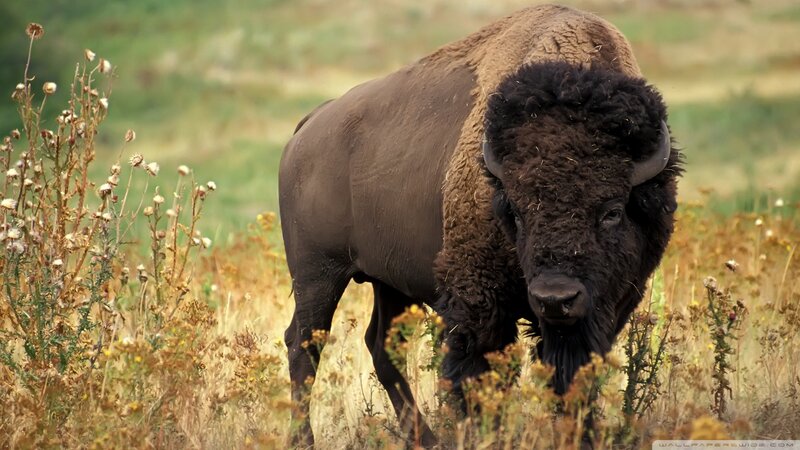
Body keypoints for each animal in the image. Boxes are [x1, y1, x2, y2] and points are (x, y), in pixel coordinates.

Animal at [279, 4, 681, 447]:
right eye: (517, 212)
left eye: (612, 211)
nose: (555, 298)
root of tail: (309, 125)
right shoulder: (478, 302)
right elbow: (477, 373)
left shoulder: (606, 307)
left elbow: (573, 376)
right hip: (318, 274)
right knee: (304, 345)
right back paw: (305, 439)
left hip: (388, 281)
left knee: (381, 345)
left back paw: (426, 437)